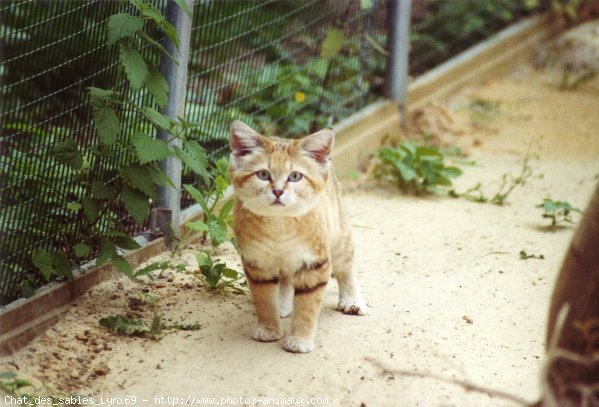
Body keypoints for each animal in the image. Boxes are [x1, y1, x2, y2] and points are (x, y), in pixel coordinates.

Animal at [229, 120, 366, 354]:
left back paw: (352, 299)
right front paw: (268, 328)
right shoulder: (257, 263)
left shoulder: (315, 264)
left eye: (295, 176)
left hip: (338, 238)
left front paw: (300, 339)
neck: (279, 226)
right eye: (263, 174)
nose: (277, 191)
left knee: (346, 268)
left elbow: (307, 307)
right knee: (285, 278)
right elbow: (264, 300)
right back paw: (283, 304)